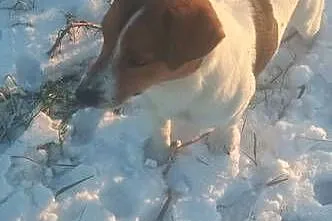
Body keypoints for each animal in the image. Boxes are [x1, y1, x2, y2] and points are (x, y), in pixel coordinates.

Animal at [74, 0, 324, 165]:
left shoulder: (240, 100)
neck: (177, 84)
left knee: (313, 30)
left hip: (308, 21)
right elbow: (160, 126)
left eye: (139, 60)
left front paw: (222, 143)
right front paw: (158, 152)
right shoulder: (154, 104)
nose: (81, 96)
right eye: (104, 37)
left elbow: (228, 123)